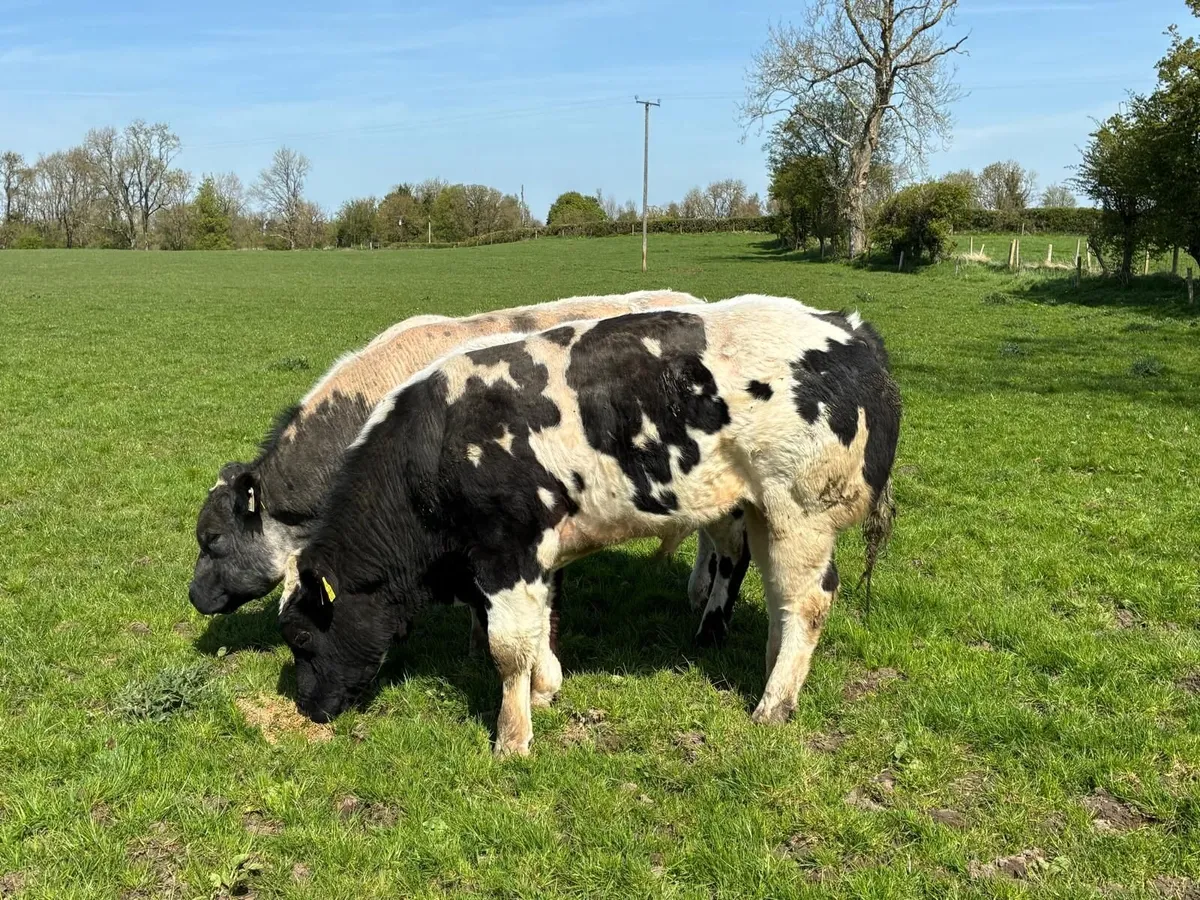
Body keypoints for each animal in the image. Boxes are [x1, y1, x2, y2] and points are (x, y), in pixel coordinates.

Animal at [277, 295, 902, 756]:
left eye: (301, 637)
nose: (307, 708)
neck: (436, 449)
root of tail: (849, 328)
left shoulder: (507, 552)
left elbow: (508, 646)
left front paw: (512, 739)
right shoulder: (525, 560)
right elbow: (536, 631)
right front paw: (546, 687)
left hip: (803, 512)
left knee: (809, 601)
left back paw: (773, 704)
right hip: (763, 511)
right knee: (779, 596)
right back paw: (768, 670)